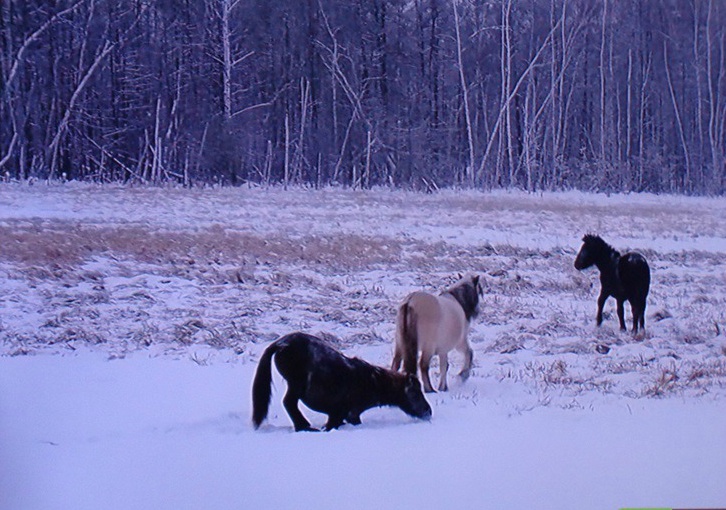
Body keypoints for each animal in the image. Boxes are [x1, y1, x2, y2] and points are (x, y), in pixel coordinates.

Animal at [253, 330, 432, 430]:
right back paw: (304, 427)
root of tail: (281, 344)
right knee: (289, 403)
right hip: (295, 384)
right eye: (416, 393)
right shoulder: (346, 414)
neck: (371, 382)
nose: (428, 412)